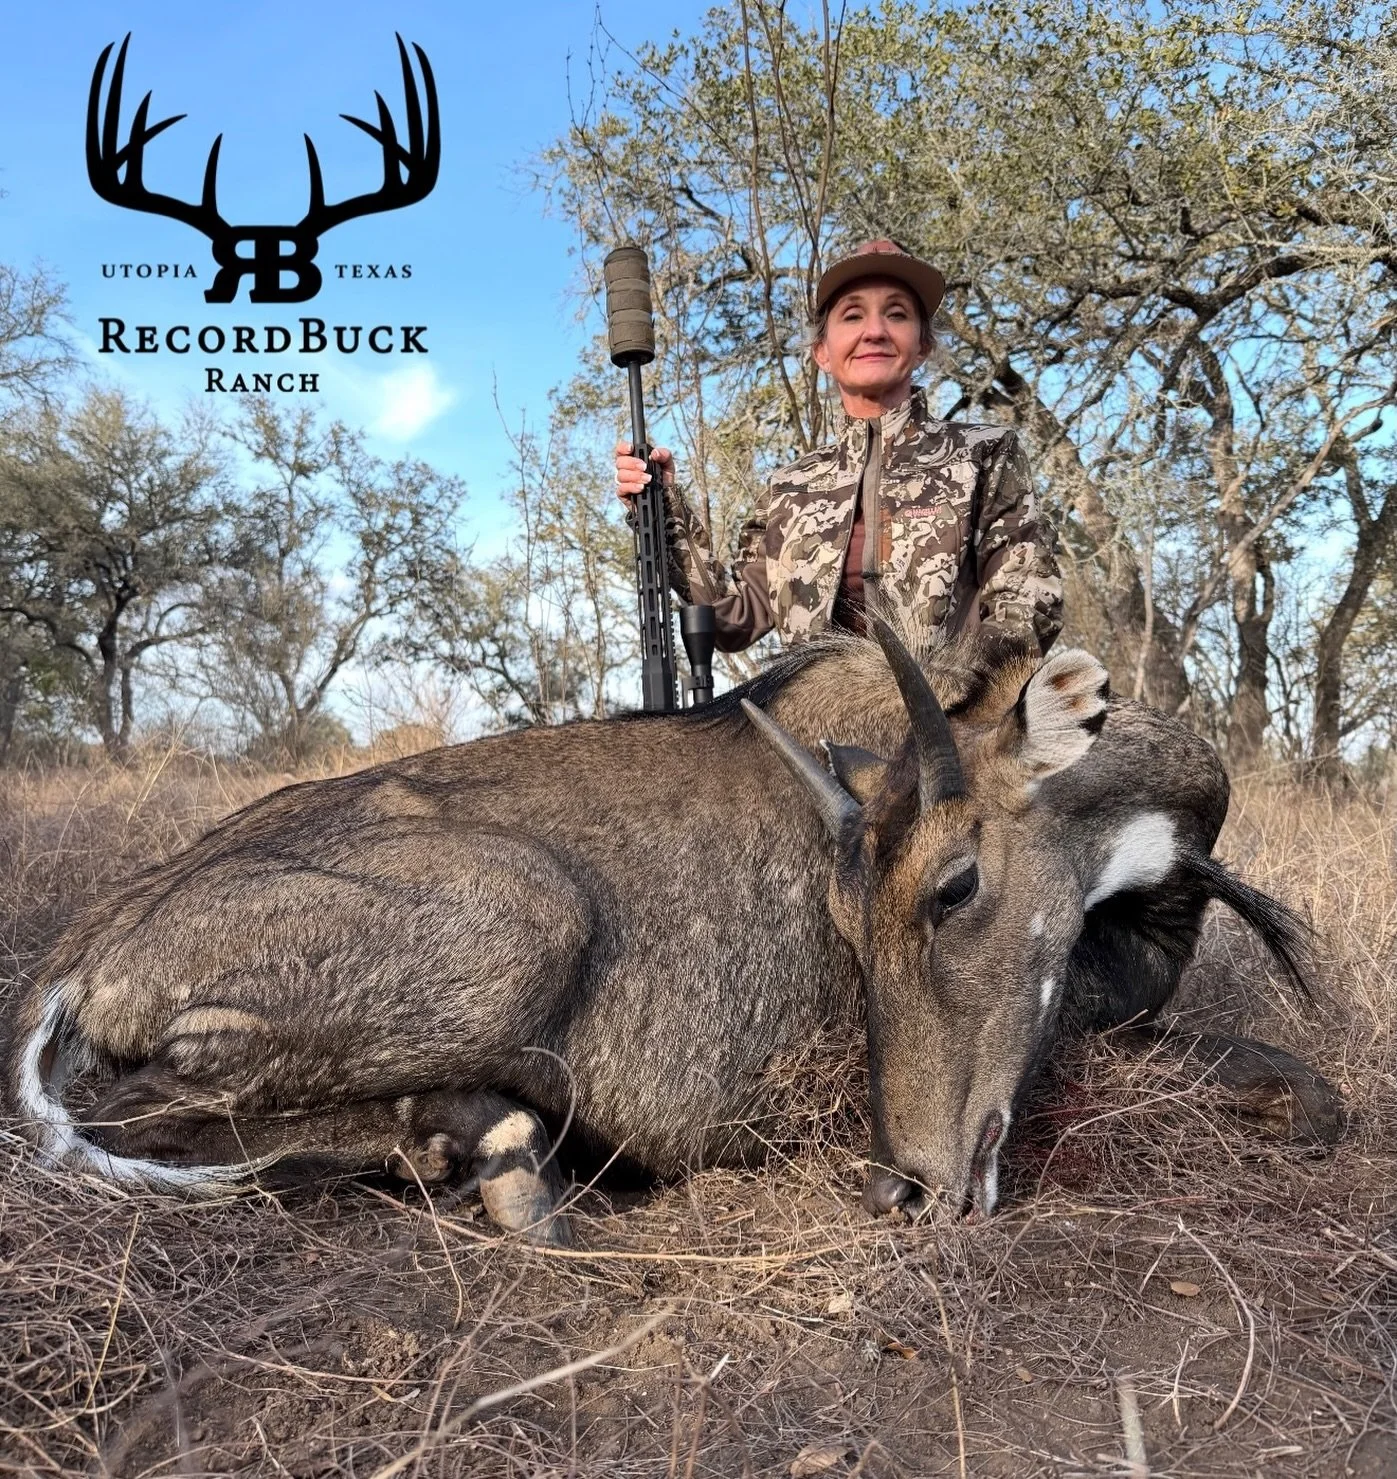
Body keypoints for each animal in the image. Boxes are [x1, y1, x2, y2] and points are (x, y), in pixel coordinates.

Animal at [8, 619, 1341, 1242]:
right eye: (848, 920)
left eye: (953, 885)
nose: (904, 1188)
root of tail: (85, 953)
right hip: (525, 917)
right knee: (161, 1114)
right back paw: (503, 1159)